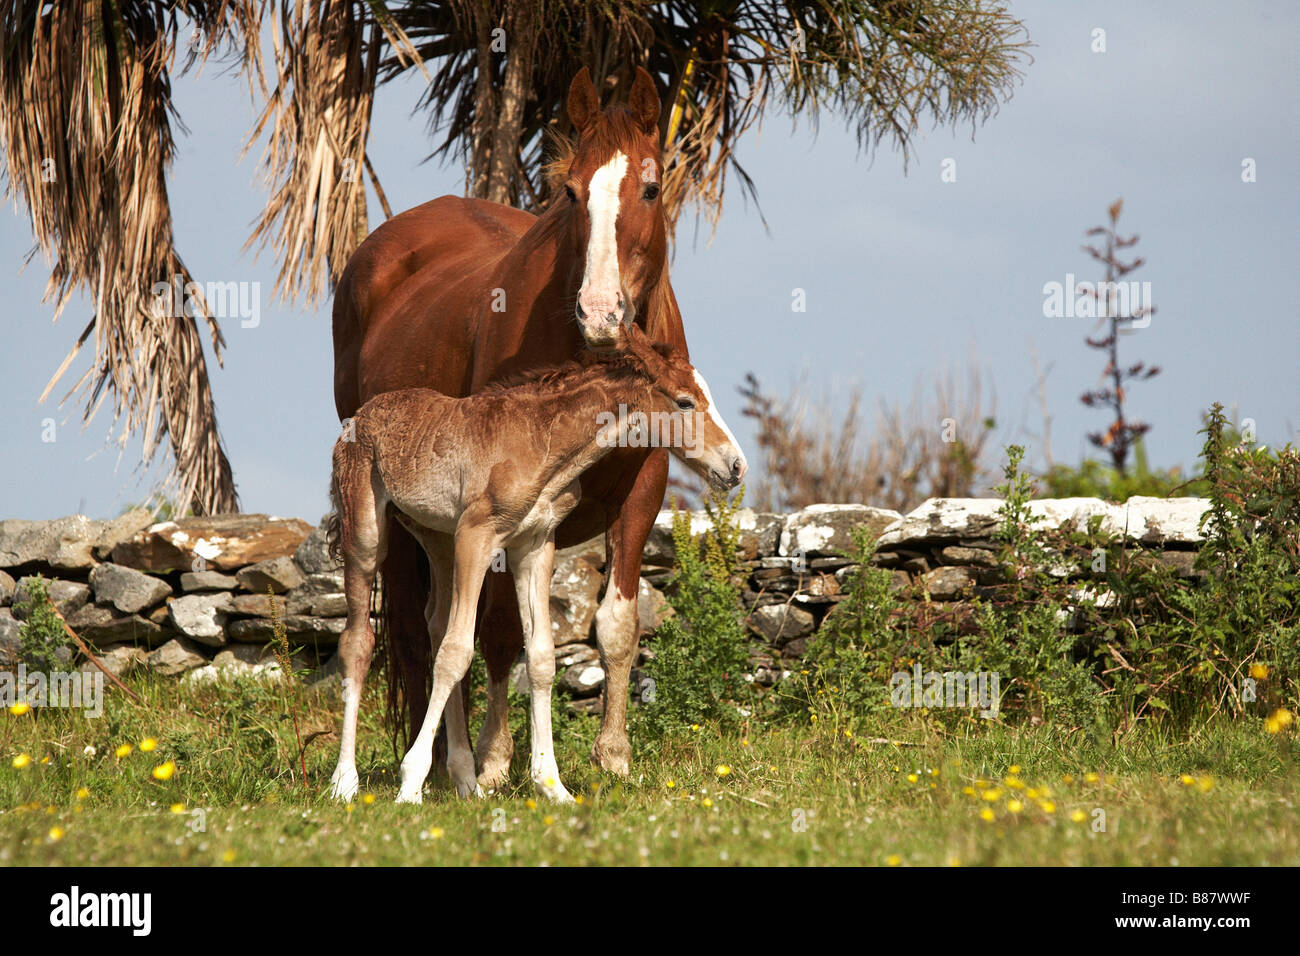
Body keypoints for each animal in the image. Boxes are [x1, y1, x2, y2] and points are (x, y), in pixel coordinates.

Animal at [330, 323, 748, 806]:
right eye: (684, 402)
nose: (736, 466)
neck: (544, 445)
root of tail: (360, 415)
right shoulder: (477, 536)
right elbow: (458, 653)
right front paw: (411, 782)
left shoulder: (535, 543)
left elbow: (541, 657)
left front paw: (551, 785)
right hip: (366, 534)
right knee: (359, 642)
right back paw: (344, 781)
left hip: (437, 538)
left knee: (435, 624)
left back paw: (466, 780)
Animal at [332, 65, 702, 785]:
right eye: (570, 191)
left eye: (649, 187)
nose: (600, 312)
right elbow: (501, 632)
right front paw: (499, 760)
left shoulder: (643, 491)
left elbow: (616, 625)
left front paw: (614, 755)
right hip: (387, 515)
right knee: (414, 631)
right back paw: (438, 762)